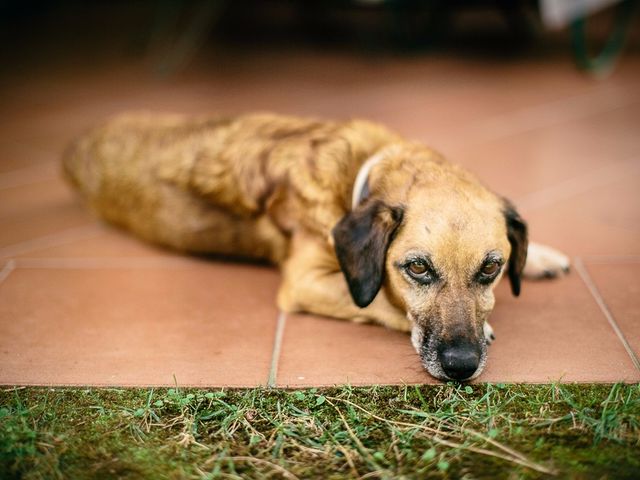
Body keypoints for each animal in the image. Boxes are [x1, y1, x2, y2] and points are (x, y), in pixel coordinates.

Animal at [62, 112, 568, 382]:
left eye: (491, 268)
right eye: (418, 269)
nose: (461, 366)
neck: (361, 171)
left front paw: (539, 256)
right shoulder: (306, 282)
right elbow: (379, 302)